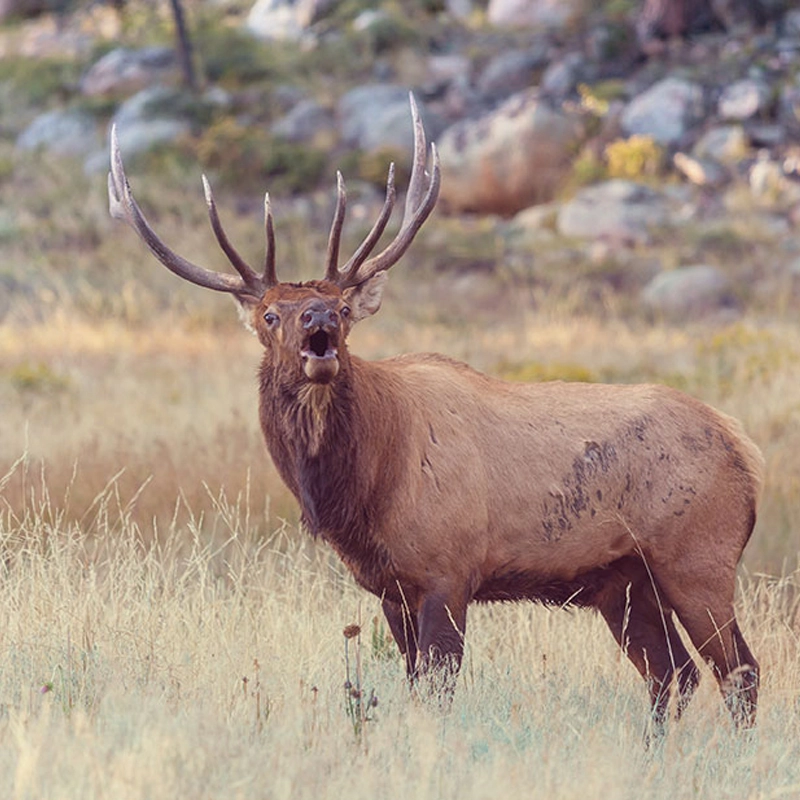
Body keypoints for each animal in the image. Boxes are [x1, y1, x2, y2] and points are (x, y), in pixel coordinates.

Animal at [108, 95, 764, 732]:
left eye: (342, 308)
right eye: (271, 314)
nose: (318, 320)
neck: (368, 487)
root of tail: (744, 449)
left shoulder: (449, 570)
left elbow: (438, 690)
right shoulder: (389, 589)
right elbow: (415, 684)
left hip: (698, 556)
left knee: (740, 671)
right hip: (623, 581)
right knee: (674, 674)